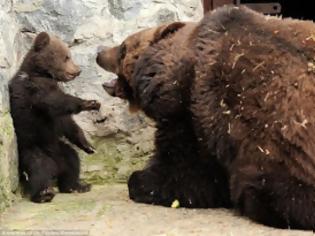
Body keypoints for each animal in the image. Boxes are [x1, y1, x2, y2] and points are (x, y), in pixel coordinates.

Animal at [9, 32, 101, 203]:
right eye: (66, 57)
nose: (78, 70)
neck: (41, 72)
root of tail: (56, 166)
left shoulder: (54, 112)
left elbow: (67, 123)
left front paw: (89, 146)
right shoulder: (34, 90)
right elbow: (56, 101)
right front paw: (90, 103)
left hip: (60, 150)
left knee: (72, 162)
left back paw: (76, 185)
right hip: (33, 149)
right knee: (39, 169)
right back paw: (44, 193)